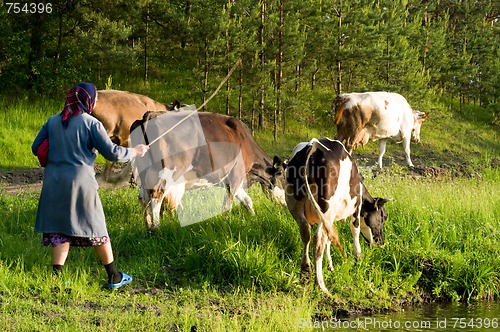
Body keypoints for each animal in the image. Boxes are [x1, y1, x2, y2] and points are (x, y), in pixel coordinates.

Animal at [130, 110, 286, 230]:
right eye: (284, 178)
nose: (285, 206)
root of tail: (150, 114)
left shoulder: (232, 180)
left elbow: (247, 200)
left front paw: (253, 217)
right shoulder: (236, 175)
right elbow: (227, 204)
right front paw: (226, 224)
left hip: (144, 173)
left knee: (143, 197)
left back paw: (148, 228)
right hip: (169, 172)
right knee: (156, 195)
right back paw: (156, 227)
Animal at [274, 139, 390, 294]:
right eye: (383, 217)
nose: (382, 243)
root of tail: (313, 146)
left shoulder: (328, 219)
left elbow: (329, 239)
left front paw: (330, 265)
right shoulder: (356, 207)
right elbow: (355, 230)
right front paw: (358, 257)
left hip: (294, 203)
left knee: (306, 234)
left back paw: (305, 273)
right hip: (326, 208)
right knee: (318, 240)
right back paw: (320, 285)